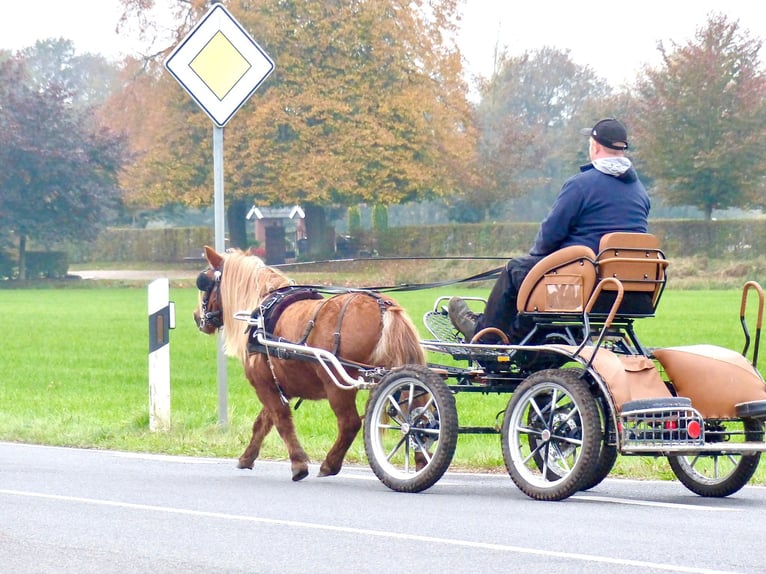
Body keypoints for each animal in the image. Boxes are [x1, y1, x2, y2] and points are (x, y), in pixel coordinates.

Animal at [192, 246, 426, 482]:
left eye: (204, 282)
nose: (196, 317)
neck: (261, 312)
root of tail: (384, 308)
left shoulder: (264, 385)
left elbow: (281, 421)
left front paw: (298, 464)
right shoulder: (281, 386)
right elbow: (263, 422)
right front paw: (247, 458)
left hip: (338, 384)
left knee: (350, 423)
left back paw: (330, 464)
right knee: (418, 414)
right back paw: (421, 462)